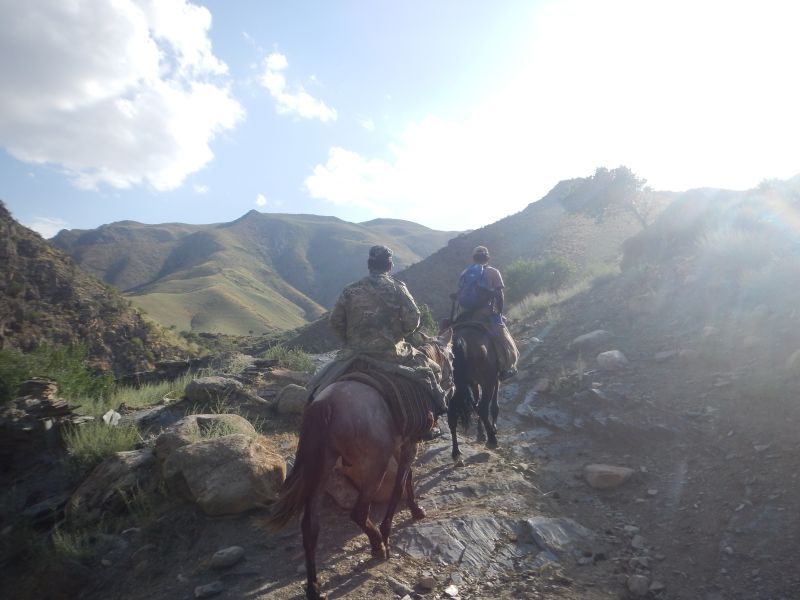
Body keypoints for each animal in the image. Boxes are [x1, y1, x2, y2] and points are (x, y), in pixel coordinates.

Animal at [268, 332, 450, 600]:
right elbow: (403, 482)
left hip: (321, 469)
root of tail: (326, 403)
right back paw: (378, 545)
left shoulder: (402, 445)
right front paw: (408, 515)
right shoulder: (409, 444)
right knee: (359, 512)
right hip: (374, 466)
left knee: (310, 526)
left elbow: (407, 477)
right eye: (451, 358)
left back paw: (314, 587)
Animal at [444, 324, 500, 464]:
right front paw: (491, 428)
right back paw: (492, 440)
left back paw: (456, 453)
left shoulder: (474, 383)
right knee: (483, 408)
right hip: (488, 380)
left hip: (452, 389)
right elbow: (492, 405)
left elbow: (475, 401)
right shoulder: (493, 379)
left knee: (452, 418)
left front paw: (481, 433)